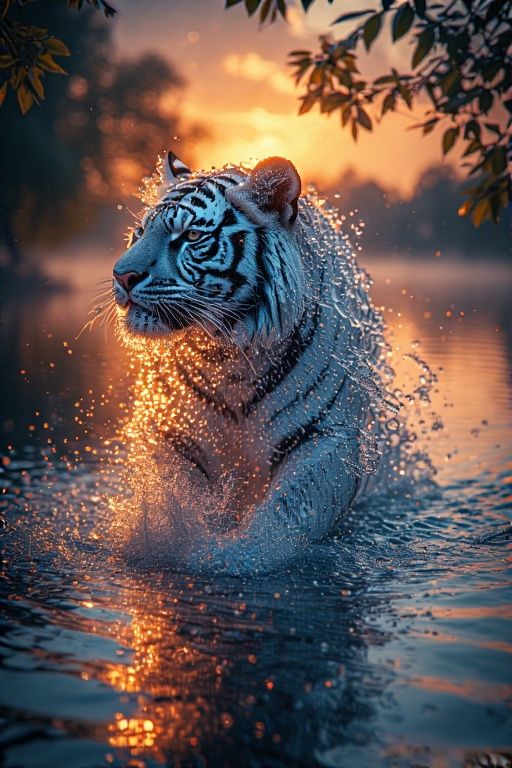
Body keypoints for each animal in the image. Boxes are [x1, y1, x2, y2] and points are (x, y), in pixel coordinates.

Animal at [111, 152, 383, 574]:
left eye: (191, 237)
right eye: (139, 232)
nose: (122, 276)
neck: (229, 352)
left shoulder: (327, 434)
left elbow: (291, 508)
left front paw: (237, 556)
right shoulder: (178, 432)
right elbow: (180, 495)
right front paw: (179, 539)